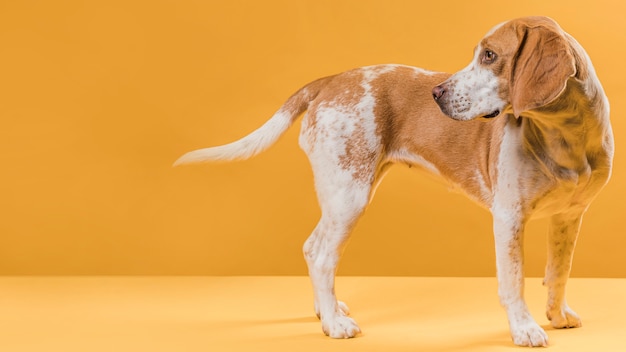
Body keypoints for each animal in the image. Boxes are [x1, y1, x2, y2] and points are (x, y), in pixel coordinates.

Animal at [173, 16, 612, 346]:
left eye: (490, 56)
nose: (436, 92)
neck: (566, 136)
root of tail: (330, 80)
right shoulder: (509, 218)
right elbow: (514, 280)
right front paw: (524, 329)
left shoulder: (570, 218)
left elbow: (559, 271)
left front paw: (557, 314)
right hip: (349, 196)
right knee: (322, 255)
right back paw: (334, 324)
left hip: (341, 196)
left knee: (312, 248)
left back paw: (326, 310)